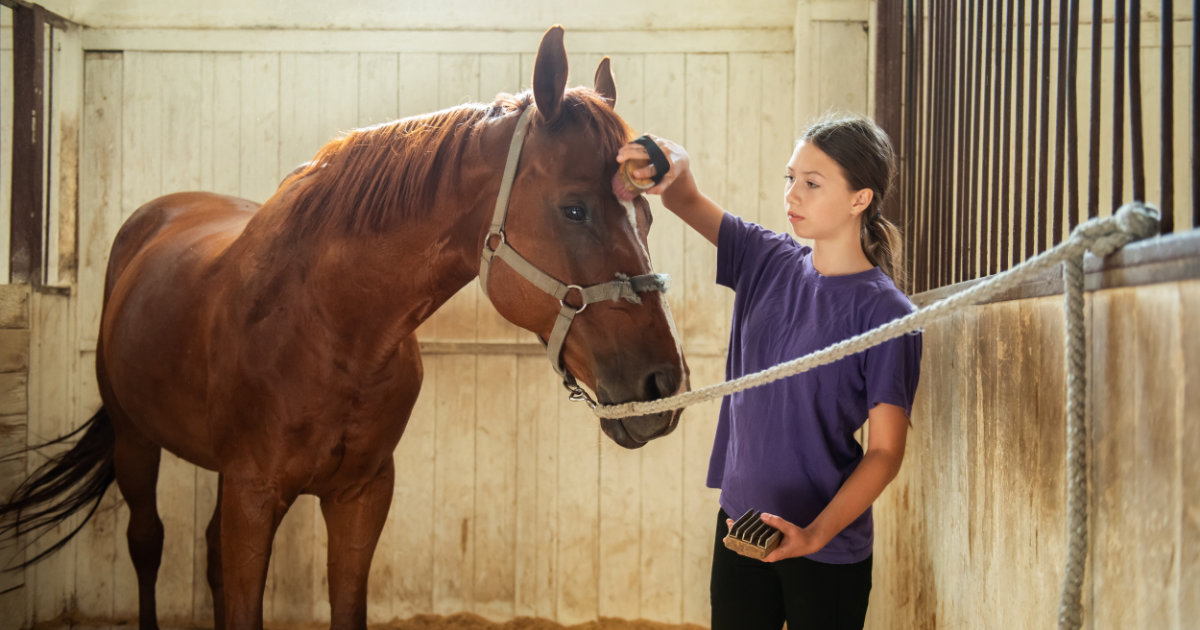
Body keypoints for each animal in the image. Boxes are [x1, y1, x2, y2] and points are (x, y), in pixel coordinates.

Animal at [0, 25, 688, 630]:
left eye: (649, 214)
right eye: (573, 209)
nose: (664, 384)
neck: (330, 328)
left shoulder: (360, 495)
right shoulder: (253, 494)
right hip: (135, 440)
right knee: (147, 543)